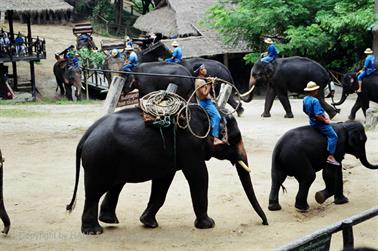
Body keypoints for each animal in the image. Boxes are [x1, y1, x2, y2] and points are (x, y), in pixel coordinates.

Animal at [67, 105, 268, 233]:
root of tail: (85, 137)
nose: (265, 223)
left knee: (116, 185)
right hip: (99, 159)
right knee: (94, 192)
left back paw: (109, 220)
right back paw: (93, 231)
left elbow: (163, 181)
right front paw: (209, 225)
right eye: (236, 137)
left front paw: (148, 223)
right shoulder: (190, 147)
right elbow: (199, 176)